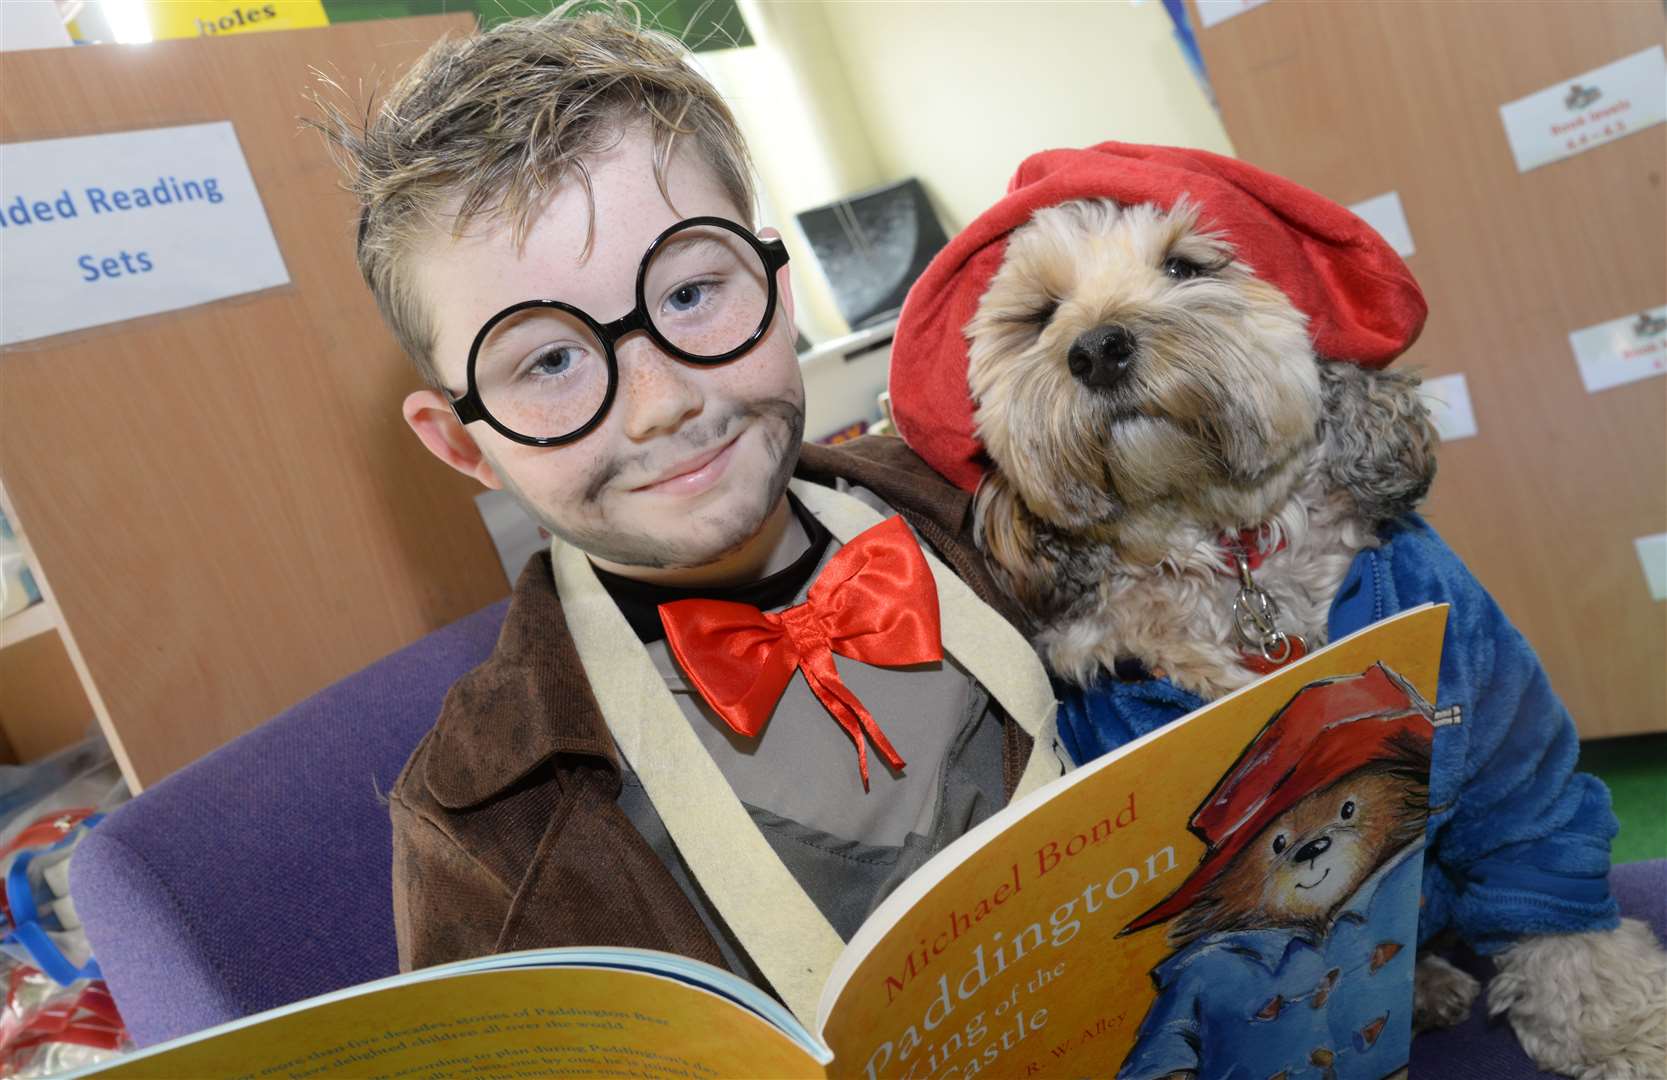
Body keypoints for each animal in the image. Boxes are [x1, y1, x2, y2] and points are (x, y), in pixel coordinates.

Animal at [893, 145, 1660, 1080]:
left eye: (1185, 267)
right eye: (1039, 315)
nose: (1097, 348)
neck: (1235, 560)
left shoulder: (1506, 738)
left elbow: (1552, 890)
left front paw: (1619, 1033)